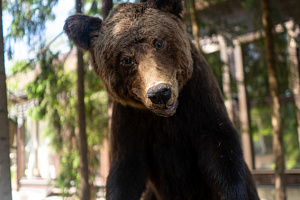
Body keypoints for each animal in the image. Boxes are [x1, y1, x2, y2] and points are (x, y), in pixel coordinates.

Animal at [63, 0, 260, 199]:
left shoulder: (201, 102)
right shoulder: (131, 121)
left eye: (158, 42)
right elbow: (126, 170)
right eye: (126, 59)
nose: (159, 93)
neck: (169, 117)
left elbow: (221, 153)